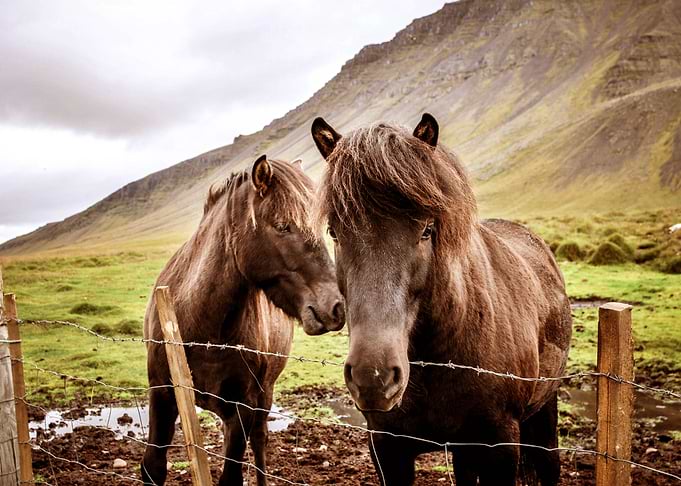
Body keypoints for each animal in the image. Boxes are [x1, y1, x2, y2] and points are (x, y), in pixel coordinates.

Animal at [141, 155, 345, 486]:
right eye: (283, 226)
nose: (336, 307)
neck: (203, 328)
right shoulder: (162, 393)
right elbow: (153, 467)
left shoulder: (243, 406)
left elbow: (232, 475)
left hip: (263, 396)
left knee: (260, 442)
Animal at [311, 114, 572, 486]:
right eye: (334, 232)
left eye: (426, 229)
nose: (373, 377)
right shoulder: (387, 449)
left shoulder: (501, 446)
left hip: (544, 414)